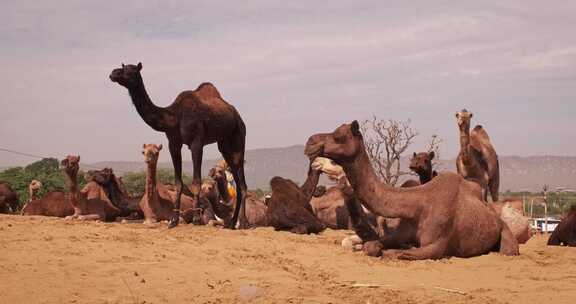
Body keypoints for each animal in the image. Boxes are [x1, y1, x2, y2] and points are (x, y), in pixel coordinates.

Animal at [110, 62, 248, 228]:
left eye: (131, 71)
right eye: (122, 67)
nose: (113, 73)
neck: (174, 117)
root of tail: (237, 116)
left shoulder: (196, 143)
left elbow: (196, 181)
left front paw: (196, 219)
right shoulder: (173, 143)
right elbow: (178, 183)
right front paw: (173, 220)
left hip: (239, 136)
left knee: (242, 181)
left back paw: (244, 222)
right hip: (224, 144)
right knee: (237, 180)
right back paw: (232, 223)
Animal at [304, 120, 520, 258]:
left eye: (338, 136)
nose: (309, 144)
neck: (417, 203)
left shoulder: (436, 246)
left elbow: (399, 254)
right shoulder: (399, 232)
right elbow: (373, 246)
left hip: (506, 233)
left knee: (509, 250)